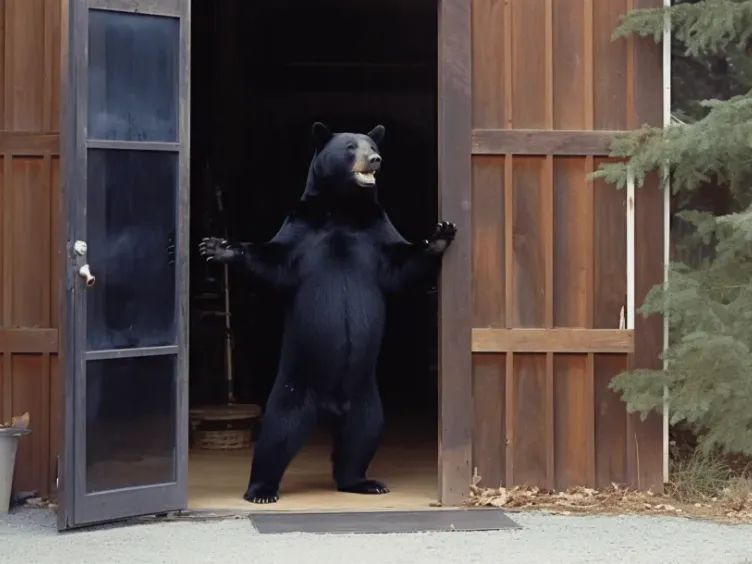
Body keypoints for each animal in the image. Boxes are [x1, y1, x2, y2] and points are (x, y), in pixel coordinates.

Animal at [198, 122, 457, 504]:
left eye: (373, 145)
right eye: (351, 147)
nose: (375, 160)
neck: (343, 209)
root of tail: (329, 410)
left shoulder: (376, 230)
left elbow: (400, 263)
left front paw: (440, 235)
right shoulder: (301, 228)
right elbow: (273, 261)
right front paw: (219, 247)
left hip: (366, 397)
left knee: (362, 436)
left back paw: (363, 481)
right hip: (294, 387)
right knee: (277, 434)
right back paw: (261, 489)